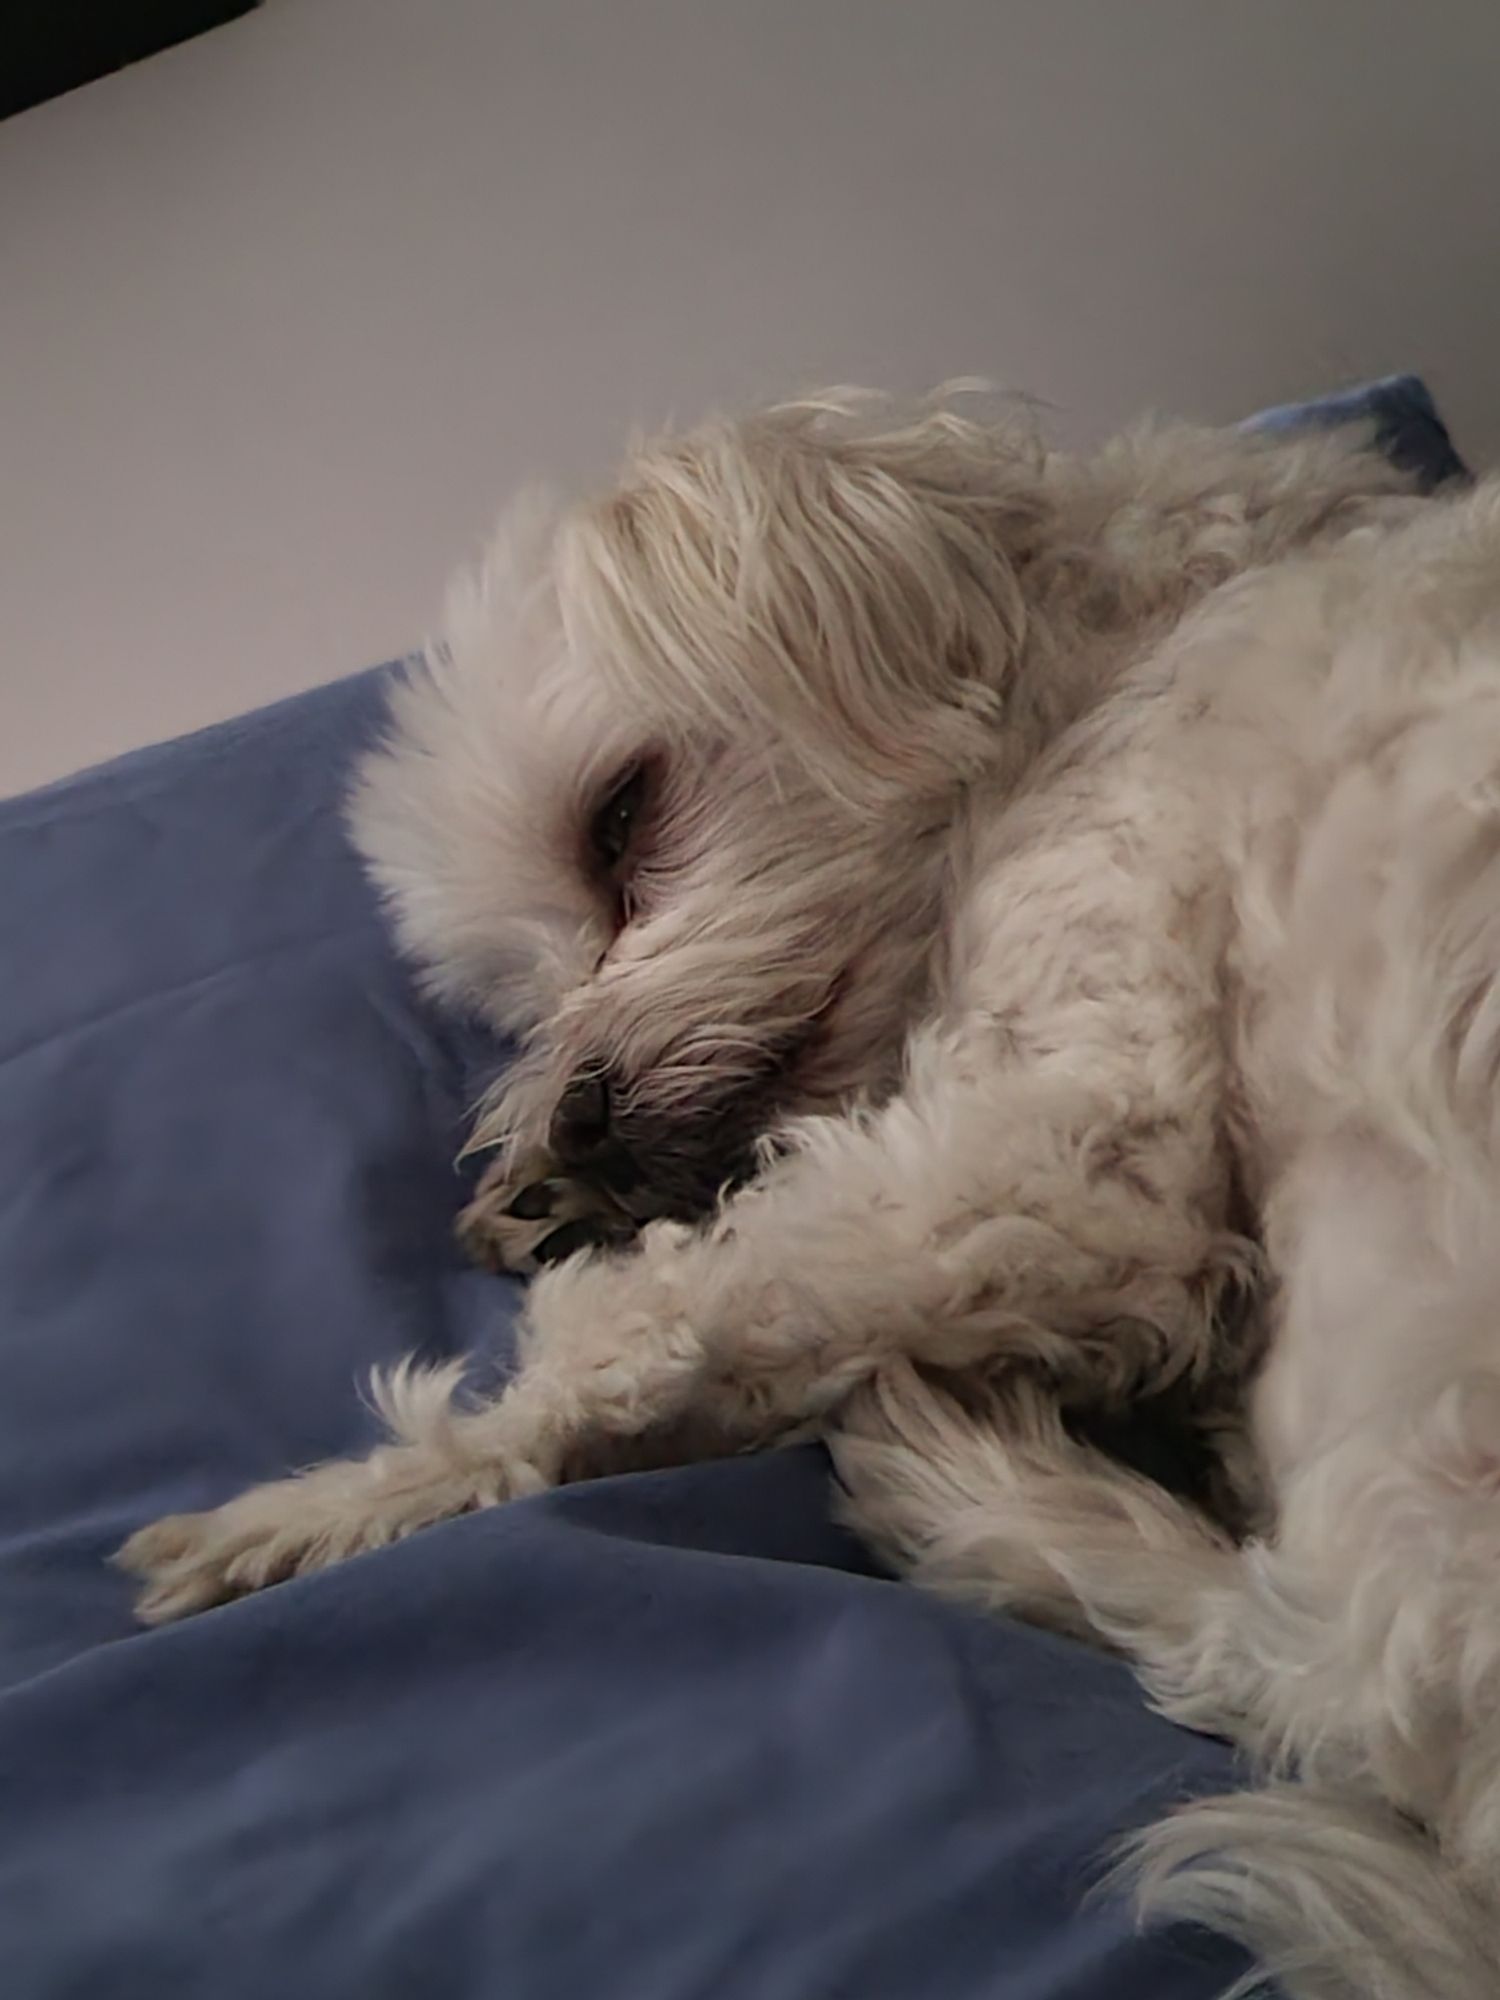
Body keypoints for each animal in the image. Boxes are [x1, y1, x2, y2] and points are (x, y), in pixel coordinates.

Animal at [114, 386, 1500, 1984]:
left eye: (619, 819)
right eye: (522, 988)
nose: (578, 1123)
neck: (1122, 640)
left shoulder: (1079, 1142)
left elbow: (632, 1330)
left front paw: (320, 1509)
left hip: (1416, 1417)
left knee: (1304, 1675)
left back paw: (970, 1481)